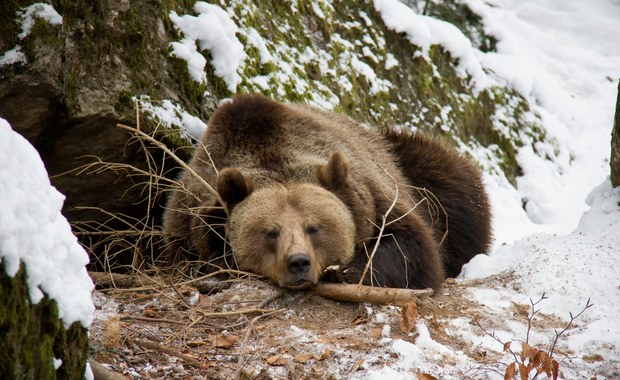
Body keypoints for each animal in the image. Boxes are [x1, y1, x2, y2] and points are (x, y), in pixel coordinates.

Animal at [162, 93, 492, 290]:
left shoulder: (376, 197)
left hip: (417, 169)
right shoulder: (188, 220)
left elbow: (413, 250)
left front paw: (345, 270)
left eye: (314, 227)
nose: (298, 262)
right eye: (270, 232)